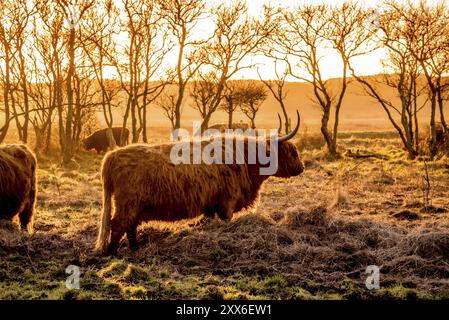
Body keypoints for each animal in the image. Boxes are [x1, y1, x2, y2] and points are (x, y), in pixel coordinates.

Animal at [96, 111, 302, 254]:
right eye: (291, 152)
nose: (301, 168)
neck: (246, 159)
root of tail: (113, 154)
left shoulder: (211, 205)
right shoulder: (227, 204)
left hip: (134, 206)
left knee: (129, 226)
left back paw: (135, 249)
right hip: (128, 204)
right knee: (118, 225)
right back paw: (113, 253)